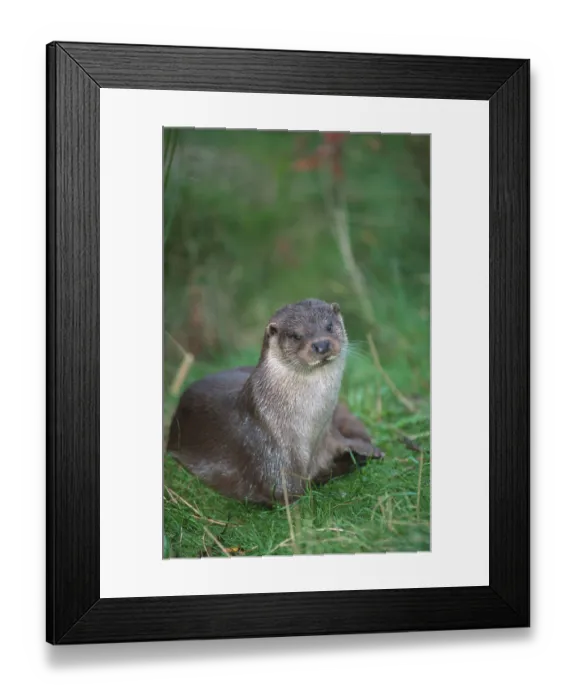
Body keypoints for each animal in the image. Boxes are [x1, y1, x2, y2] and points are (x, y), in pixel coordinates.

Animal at [166, 299, 383, 506]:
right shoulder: (271, 458)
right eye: (296, 336)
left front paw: (368, 451)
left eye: (329, 326)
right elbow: (288, 496)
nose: (322, 345)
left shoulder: (329, 435)